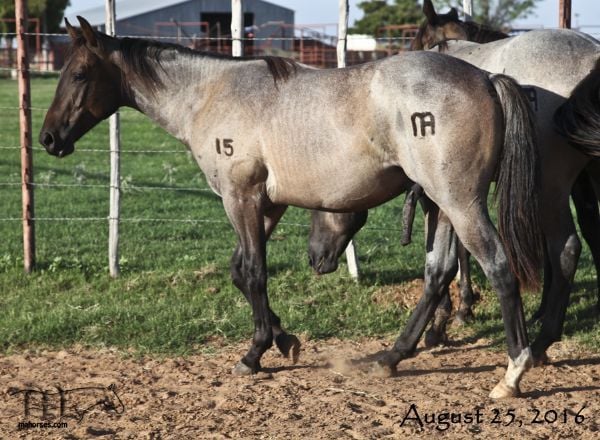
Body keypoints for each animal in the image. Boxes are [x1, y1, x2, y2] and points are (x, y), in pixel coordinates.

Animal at [39, 17, 540, 398]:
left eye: (79, 74)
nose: (47, 138)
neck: (211, 93)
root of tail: (486, 79)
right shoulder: (267, 205)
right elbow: (240, 272)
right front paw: (284, 340)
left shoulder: (240, 197)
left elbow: (254, 274)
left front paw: (255, 353)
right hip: (441, 205)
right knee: (438, 272)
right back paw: (390, 357)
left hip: (459, 201)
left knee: (497, 267)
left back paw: (513, 373)